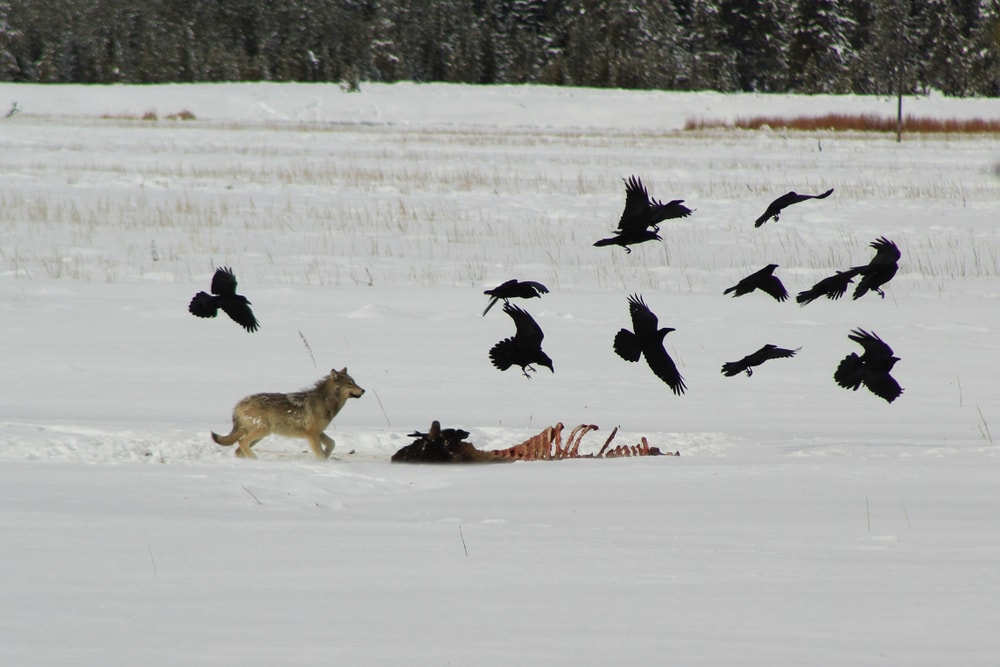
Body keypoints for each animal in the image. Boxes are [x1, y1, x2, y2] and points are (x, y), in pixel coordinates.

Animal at [211, 368, 365, 459]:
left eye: (354, 382)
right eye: (350, 383)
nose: (364, 390)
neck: (325, 401)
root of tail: (238, 404)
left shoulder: (319, 432)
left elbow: (332, 443)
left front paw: (326, 455)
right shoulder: (312, 434)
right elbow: (320, 454)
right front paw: (323, 461)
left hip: (260, 435)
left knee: (238, 450)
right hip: (262, 431)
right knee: (242, 442)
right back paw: (256, 460)